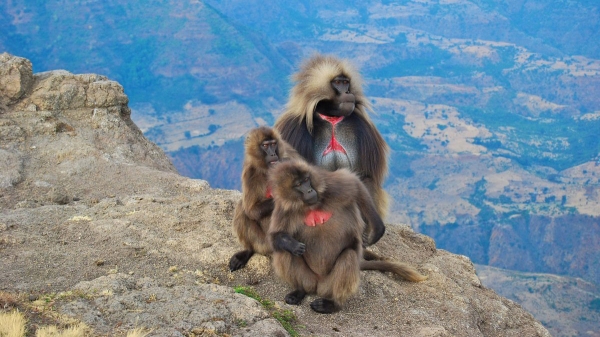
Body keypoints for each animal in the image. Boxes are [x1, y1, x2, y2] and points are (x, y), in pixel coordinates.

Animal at [268, 160, 426, 312]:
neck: (310, 207)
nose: (309, 190)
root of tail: (318, 284)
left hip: (329, 284)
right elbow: (276, 236)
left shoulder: (331, 187)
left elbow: (355, 186)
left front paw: (378, 228)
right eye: (298, 184)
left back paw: (333, 304)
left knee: (349, 256)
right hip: (309, 278)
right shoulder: (283, 208)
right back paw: (300, 290)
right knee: (284, 253)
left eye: (307, 179)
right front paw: (292, 245)